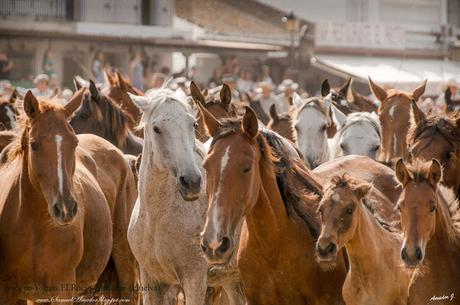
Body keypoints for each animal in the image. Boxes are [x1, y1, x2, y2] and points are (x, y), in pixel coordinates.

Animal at [124, 86, 243, 304]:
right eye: (156, 128)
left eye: (193, 124)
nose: (192, 181)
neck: (157, 219)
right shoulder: (152, 280)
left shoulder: (194, 279)